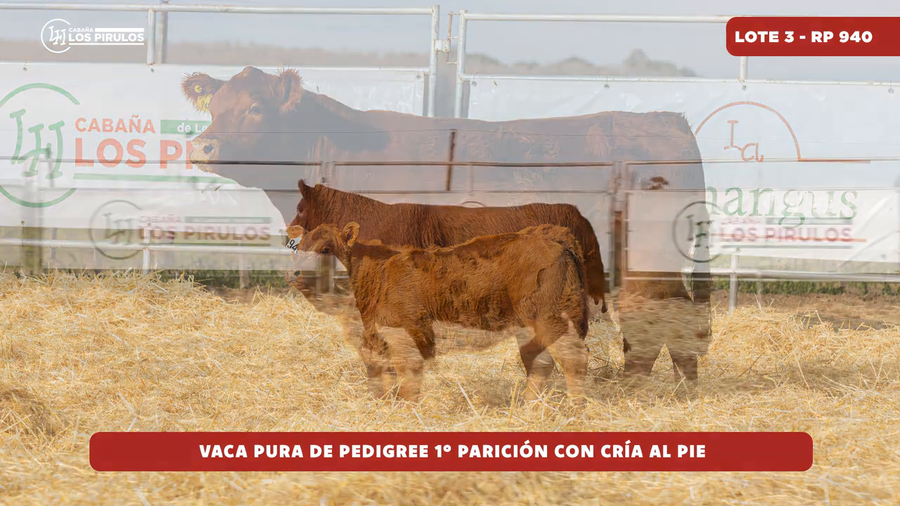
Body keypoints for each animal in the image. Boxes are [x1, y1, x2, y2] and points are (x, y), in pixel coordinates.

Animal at [181, 65, 712, 383]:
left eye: (255, 107)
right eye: (215, 106)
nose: (202, 146)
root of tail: (668, 121)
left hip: (644, 260)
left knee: (652, 318)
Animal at [287, 222, 591, 403]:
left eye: (325, 249)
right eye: (297, 248)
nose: (295, 274)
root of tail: (547, 234)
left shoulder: (404, 336)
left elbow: (407, 379)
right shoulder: (374, 341)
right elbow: (380, 377)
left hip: (553, 318)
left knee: (574, 359)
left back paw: (575, 408)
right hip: (529, 329)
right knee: (540, 364)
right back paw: (530, 408)